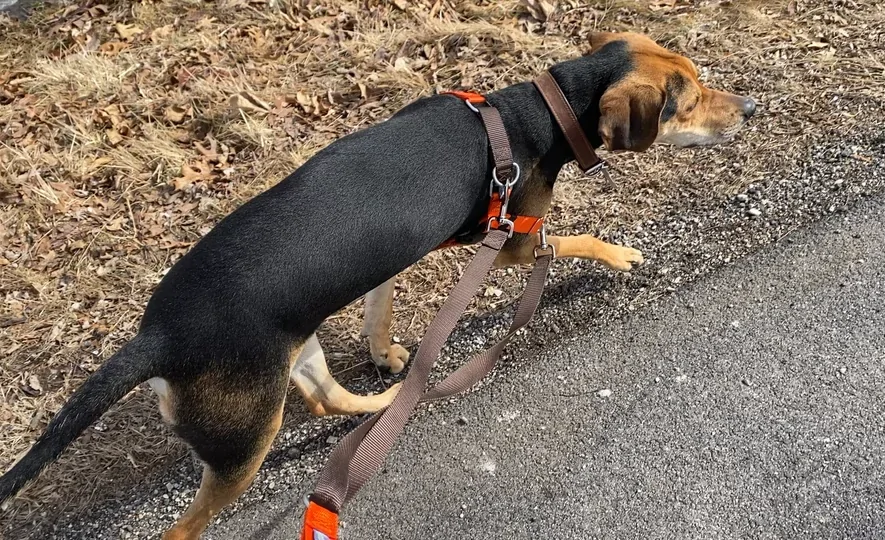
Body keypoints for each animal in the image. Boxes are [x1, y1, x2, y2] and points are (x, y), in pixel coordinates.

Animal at [0, 33, 752, 540]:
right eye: (687, 102)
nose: (748, 106)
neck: (531, 114)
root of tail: (154, 338)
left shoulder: (396, 255)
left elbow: (378, 303)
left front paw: (386, 352)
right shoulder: (512, 240)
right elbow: (573, 240)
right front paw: (620, 254)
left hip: (292, 359)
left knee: (329, 402)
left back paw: (394, 397)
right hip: (244, 440)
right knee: (185, 527)